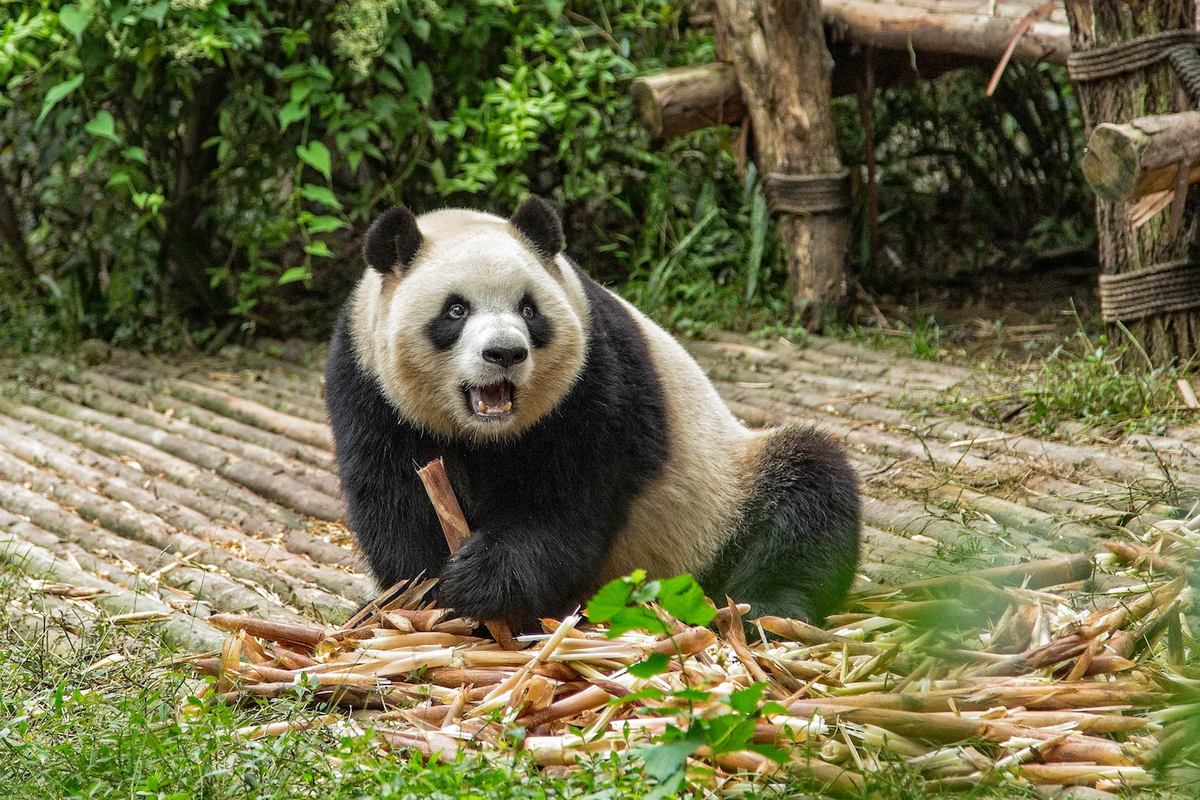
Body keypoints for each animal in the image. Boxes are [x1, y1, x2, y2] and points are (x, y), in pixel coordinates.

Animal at [324, 199, 859, 633]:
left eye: (529, 310)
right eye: (455, 310)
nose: (505, 353)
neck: (487, 435)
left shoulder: (595, 379)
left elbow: (570, 500)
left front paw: (480, 580)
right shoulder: (367, 386)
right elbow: (394, 494)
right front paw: (427, 595)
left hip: (722, 499)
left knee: (808, 493)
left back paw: (769, 610)